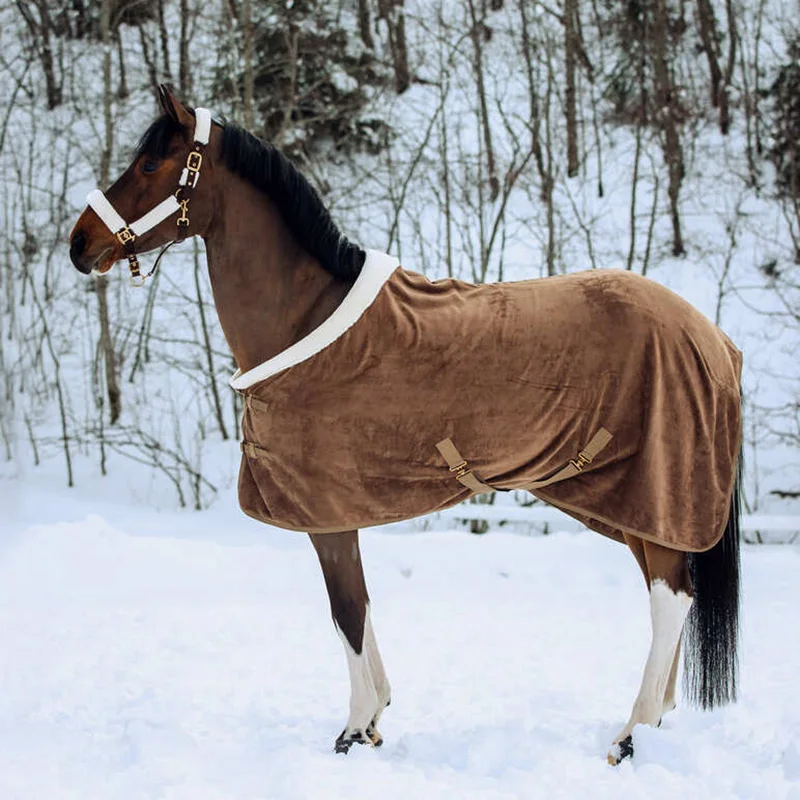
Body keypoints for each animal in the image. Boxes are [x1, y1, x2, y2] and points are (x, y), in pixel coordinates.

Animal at [69, 85, 743, 765]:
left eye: (150, 165)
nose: (79, 242)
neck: (305, 318)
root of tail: (712, 337)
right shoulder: (339, 513)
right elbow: (360, 608)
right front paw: (373, 720)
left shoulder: (327, 514)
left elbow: (346, 610)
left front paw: (353, 728)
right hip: (638, 508)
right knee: (666, 593)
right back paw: (654, 722)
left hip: (656, 495)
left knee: (671, 599)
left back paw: (631, 736)